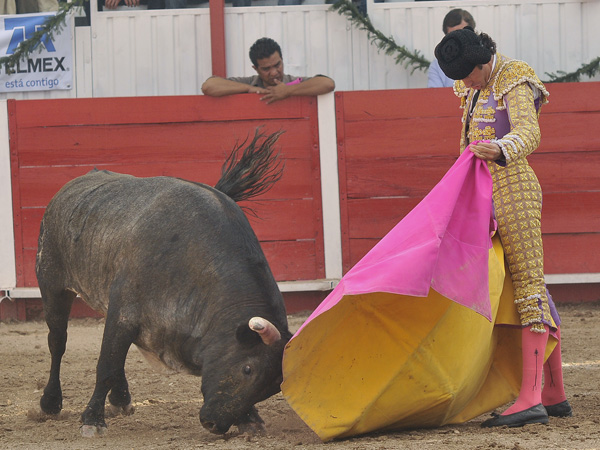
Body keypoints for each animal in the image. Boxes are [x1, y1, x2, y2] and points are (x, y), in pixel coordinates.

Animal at [35, 129, 292, 436]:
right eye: (248, 369)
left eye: (272, 388)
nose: (214, 423)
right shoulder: (124, 312)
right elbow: (106, 365)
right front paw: (92, 420)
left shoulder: (125, 315)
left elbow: (114, 358)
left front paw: (250, 419)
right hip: (52, 284)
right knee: (57, 341)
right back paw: (50, 404)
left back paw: (121, 399)